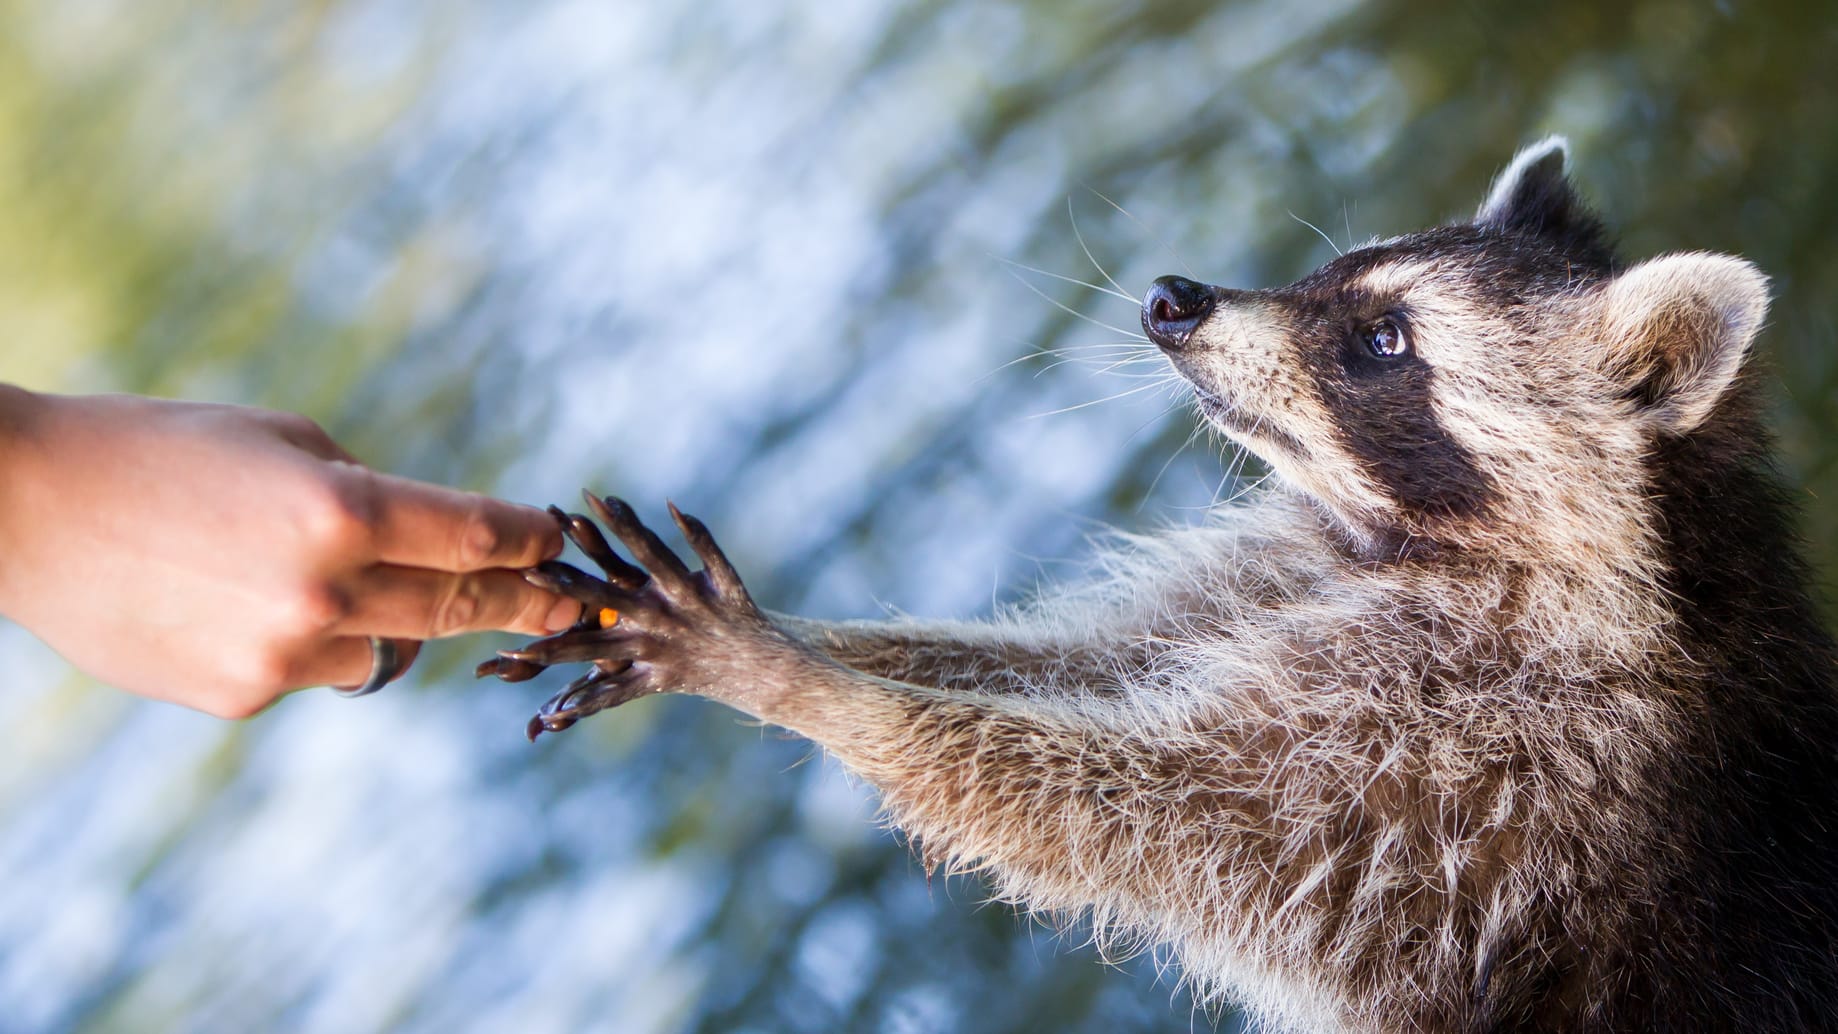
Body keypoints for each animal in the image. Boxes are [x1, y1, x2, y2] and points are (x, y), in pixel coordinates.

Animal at [481, 139, 1838, 1034]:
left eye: (1381, 340)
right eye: (1331, 277)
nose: (1172, 299)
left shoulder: (1498, 766)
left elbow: (1151, 812)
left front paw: (792, 680)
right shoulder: (1294, 579)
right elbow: (1092, 665)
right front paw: (810, 640)